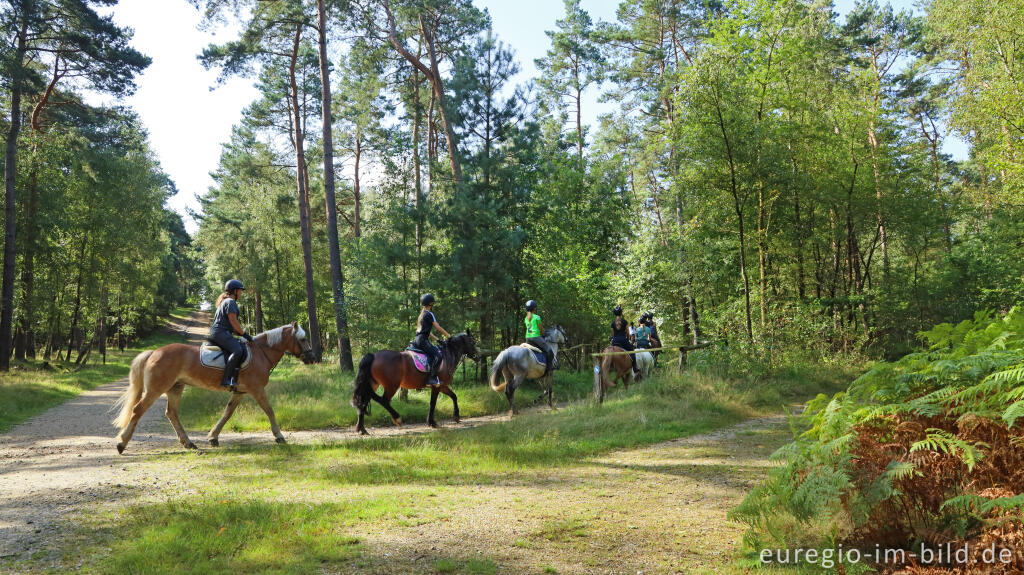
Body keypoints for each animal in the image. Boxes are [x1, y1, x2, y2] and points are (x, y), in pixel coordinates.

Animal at [110, 323, 313, 452]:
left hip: (176, 388)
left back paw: (189, 443)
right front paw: (279, 436)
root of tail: (154, 352)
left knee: (172, 413)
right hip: (156, 389)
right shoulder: (256, 389)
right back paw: (122, 444)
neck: (260, 353)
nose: (312, 357)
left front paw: (213, 437)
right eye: (303, 339)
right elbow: (269, 410)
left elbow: (227, 413)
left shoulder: (240, 392)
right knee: (138, 409)